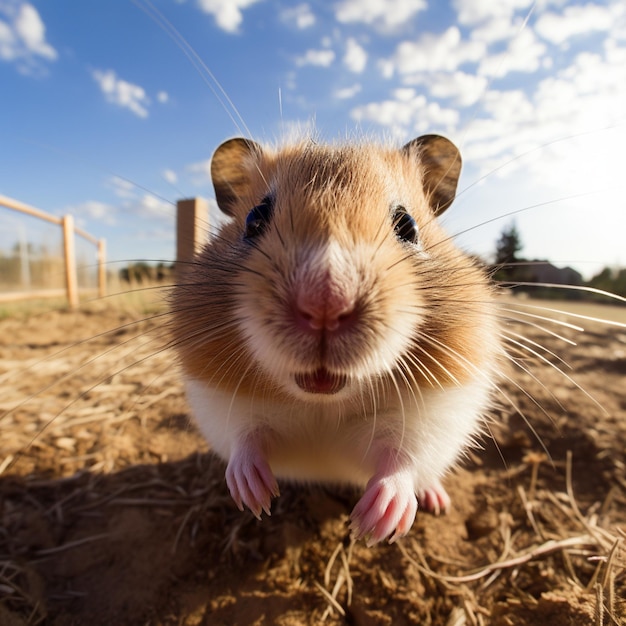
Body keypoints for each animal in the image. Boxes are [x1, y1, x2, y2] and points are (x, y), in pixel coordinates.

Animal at [168, 134, 500, 544]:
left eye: (406, 225)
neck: (323, 403)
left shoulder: (440, 411)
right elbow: (244, 438)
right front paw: (256, 499)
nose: (325, 302)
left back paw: (436, 501)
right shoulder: (218, 400)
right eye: (254, 219)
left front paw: (372, 525)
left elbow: (404, 458)